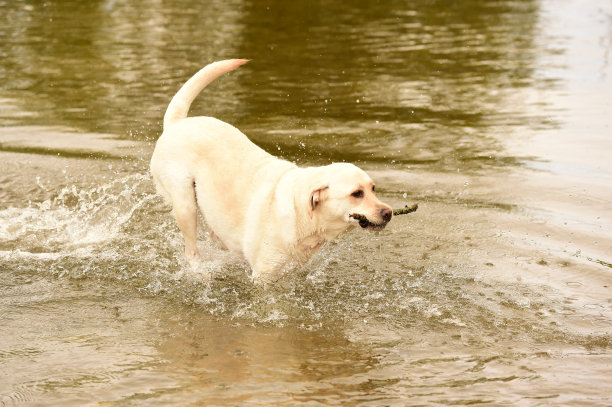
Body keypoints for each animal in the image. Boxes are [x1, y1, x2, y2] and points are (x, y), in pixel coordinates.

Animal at [151, 59, 394, 284]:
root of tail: (176, 123)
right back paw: (201, 272)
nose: (389, 212)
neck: (302, 214)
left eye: (373, 189)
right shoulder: (264, 277)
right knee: (191, 251)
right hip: (185, 206)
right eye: (356, 193)